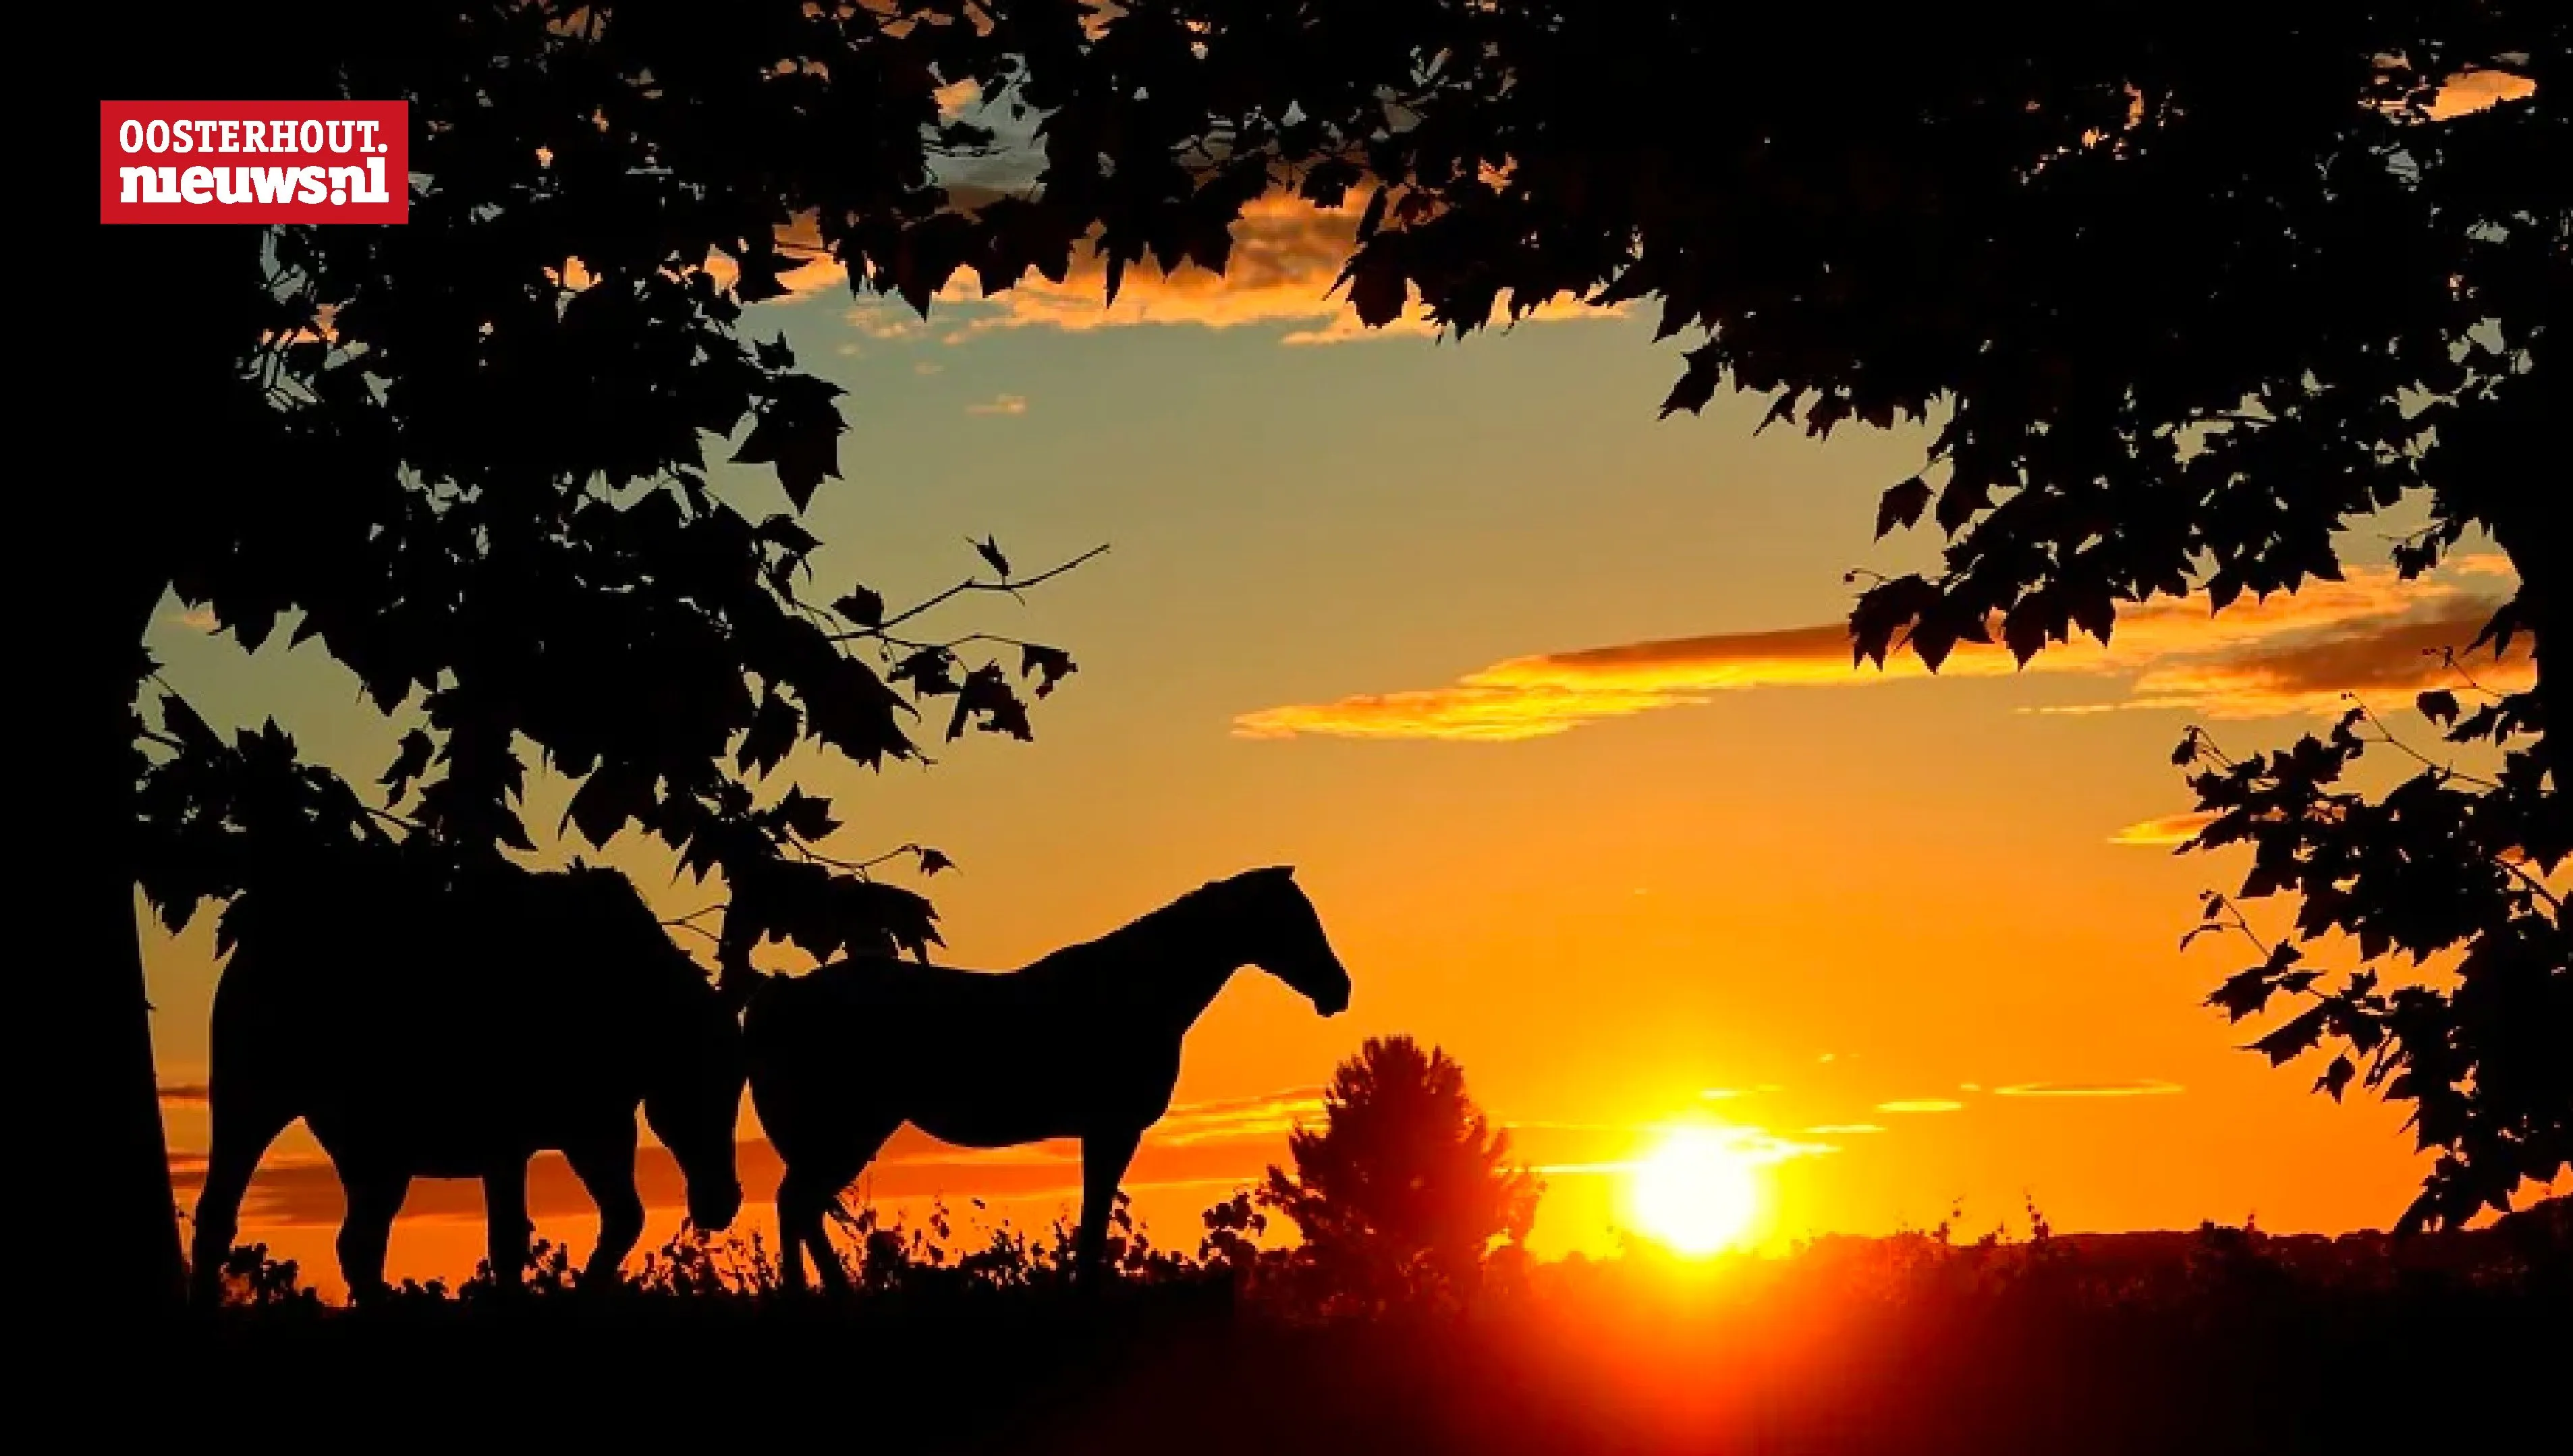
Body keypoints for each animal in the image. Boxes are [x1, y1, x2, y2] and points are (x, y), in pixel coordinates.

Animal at [187, 858, 746, 1303]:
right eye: (704, 1079)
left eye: (740, 1080)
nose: (723, 1202)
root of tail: (249, 932)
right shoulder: (509, 1137)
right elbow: (509, 1244)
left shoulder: (593, 1127)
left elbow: (622, 1218)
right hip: (251, 1098)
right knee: (237, 1219)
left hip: (372, 1151)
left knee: (345, 1241)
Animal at [744, 865, 1352, 1291]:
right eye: (1291, 919)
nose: (1338, 989)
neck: (1135, 993)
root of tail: (779, 996)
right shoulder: (1112, 1129)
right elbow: (1093, 1219)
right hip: (845, 1131)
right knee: (797, 1204)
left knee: (801, 1207)